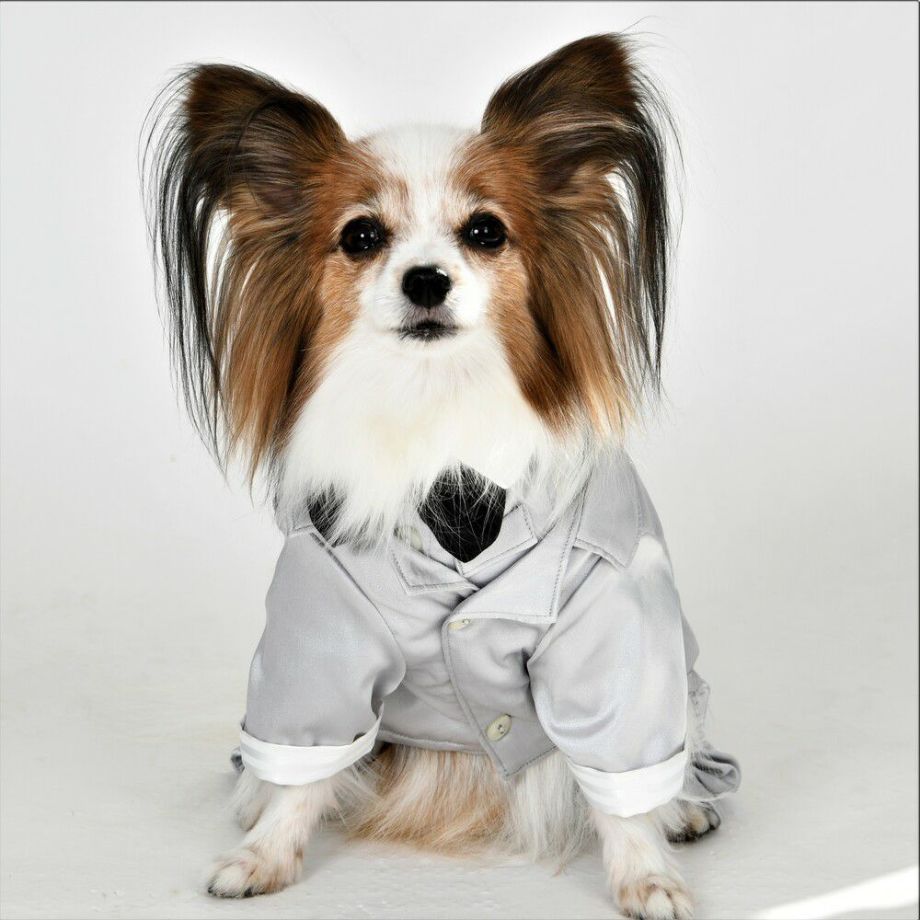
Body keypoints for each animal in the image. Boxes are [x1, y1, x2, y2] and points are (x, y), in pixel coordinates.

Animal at [144, 34, 739, 919]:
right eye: (362, 237)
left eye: (485, 231)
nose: (426, 278)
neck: (437, 415)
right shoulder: (318, 630)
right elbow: (301, 762)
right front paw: (264, 855)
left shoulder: (612, 628)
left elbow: (621, 777)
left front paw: (646, 873)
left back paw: (689, 806)